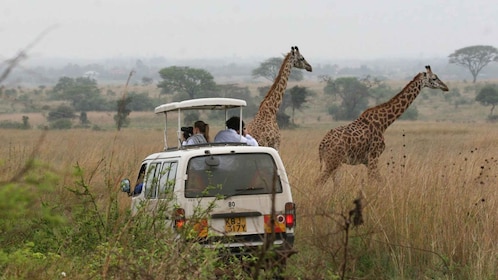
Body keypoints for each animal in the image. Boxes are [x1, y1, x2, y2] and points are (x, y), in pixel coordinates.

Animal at [318, 64, 450, 185]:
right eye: (434, 78)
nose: (446, 87)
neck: (384, 123)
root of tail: (321, 145)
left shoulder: (368, 161)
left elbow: (381, 181)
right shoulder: (373, 156)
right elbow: (372, 182)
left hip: (335, 163)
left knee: (335, 184)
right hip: (332, 161)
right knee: (318, 182)